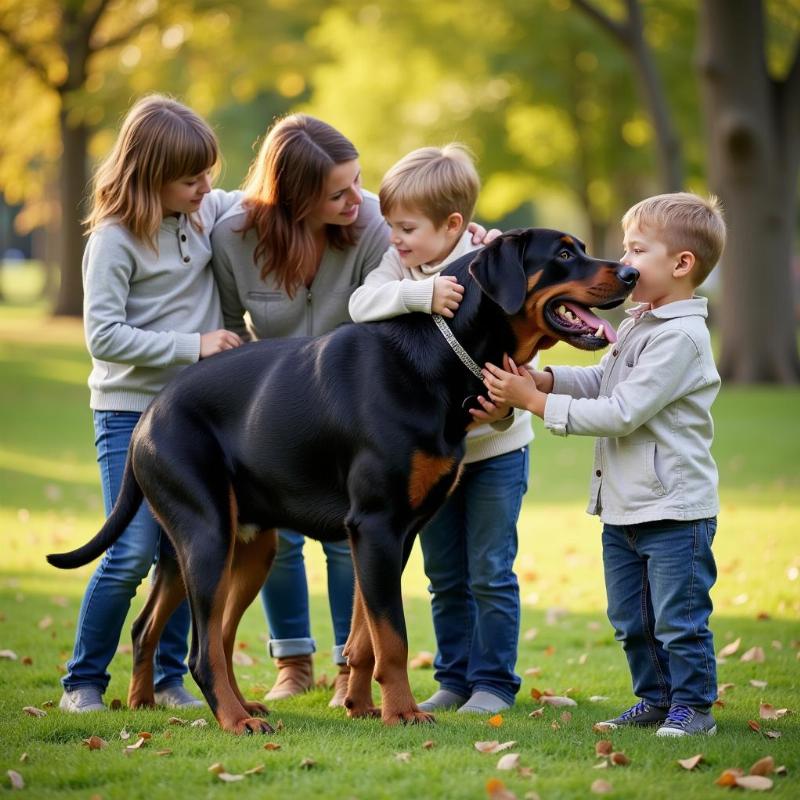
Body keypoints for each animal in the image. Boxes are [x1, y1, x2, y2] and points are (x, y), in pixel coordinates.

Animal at [50, 228, 636, 736]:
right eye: (564, 254)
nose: (631, 272)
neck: (441, 354)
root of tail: (148, 417)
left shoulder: (396, 533)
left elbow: (365, 637)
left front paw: (362, 706)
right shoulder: (376, 525)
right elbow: (393, 638)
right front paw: (403, 713)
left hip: (227, 546)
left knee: (174, 629)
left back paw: (158, 703)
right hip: (208, 535)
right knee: (202, 648)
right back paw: (235, 720)